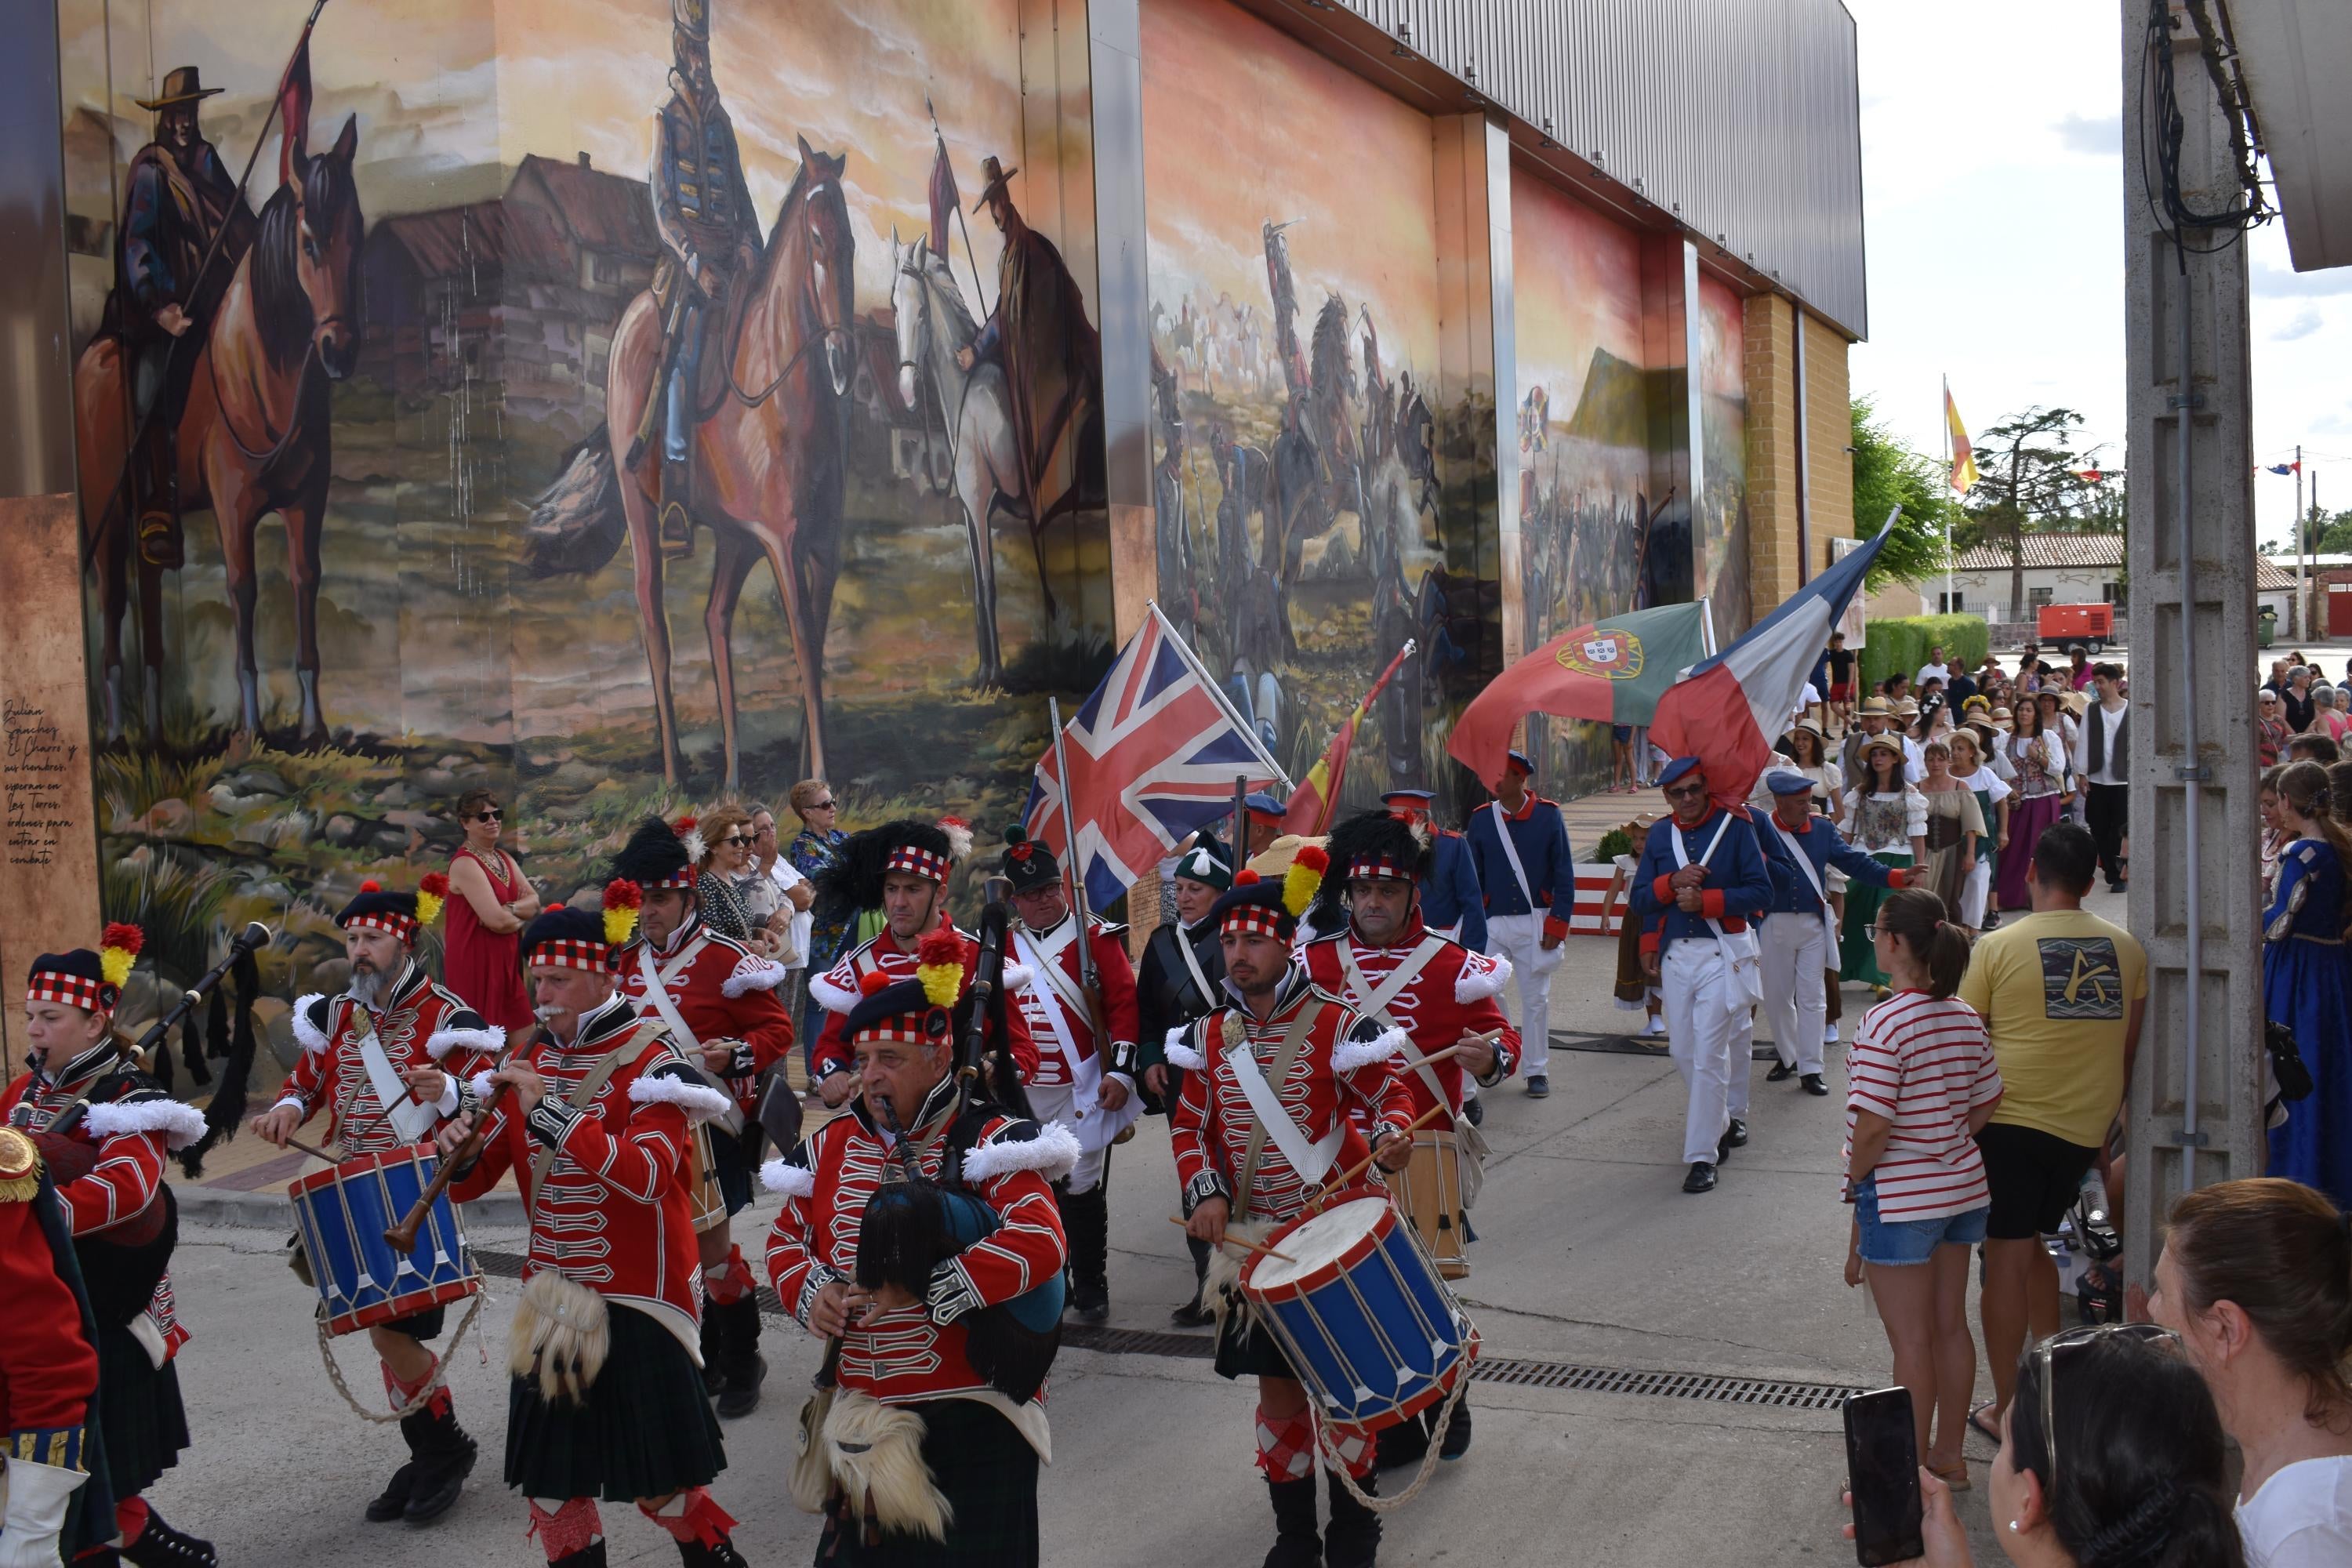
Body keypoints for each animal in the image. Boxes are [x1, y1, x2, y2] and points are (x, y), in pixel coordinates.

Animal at [72, 114, 362, 742]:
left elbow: (306, 579)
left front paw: (315, 725)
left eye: (356, 239)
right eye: (308, 242)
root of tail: (92, 358)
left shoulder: (306, 502)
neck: (260, 374)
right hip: (108, 517)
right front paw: (250, 726)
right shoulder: (234, 509)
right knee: (113, 602)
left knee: (150, 597)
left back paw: (156, 731)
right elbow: (244, 588)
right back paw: (115, 731)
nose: (340, 352)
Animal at [529, 136, 861, 789]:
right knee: (655, 622)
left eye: (852, 244)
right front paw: (820, 775)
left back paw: (731, 774)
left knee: (714, 620)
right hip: (643, 513)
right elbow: (802, 639)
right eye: (815, 239)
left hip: (733, 540)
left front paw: (803, 767)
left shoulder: (823, 547)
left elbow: (813, 640)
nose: (842, 357)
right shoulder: (782, 543)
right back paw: (675, 774)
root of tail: (633, 318)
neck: (782, 395)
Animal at [889, 227, 1021, 686]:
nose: (907, 391)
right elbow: (979, 588)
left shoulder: (980, 505)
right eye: (894, 305)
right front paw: (983, 670)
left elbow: (988, 585)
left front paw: (994, 674)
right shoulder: (969, 511)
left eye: (922, 310)